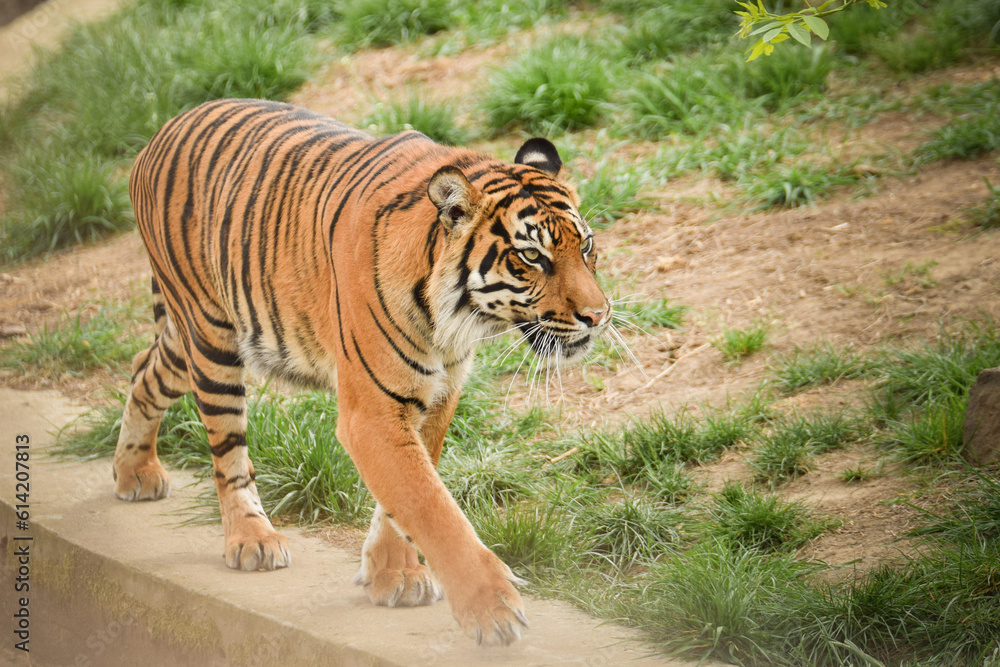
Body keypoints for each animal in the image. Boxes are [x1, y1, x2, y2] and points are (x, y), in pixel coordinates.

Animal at [114, 98, 610, 646]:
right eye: (531, 256)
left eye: (586, 246)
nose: (599, 315)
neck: (454, 320)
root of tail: (164, 129)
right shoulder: (372, 412)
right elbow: (432, 507)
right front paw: (492, 609)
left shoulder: (437, 394)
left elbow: (409, 493)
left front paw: (394, 574)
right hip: (211, 338)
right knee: (228, 453)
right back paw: (252, 538)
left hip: (188, 343)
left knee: (142, 369)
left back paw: (134, 472)